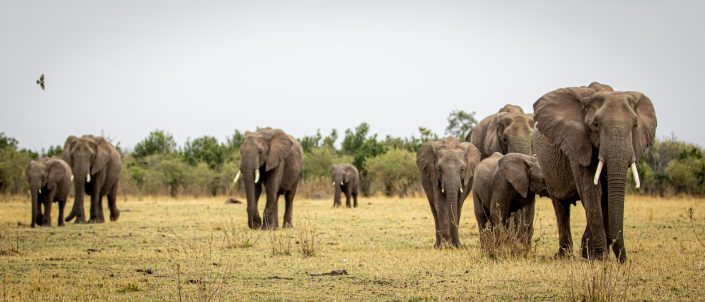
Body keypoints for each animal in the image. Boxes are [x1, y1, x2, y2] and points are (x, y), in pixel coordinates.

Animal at [532, 82, 656, 262]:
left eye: (635, 125)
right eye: (596, 124)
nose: (623, 260)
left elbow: (606, 196)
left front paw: (592, 255)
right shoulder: (578, 143)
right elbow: (591, 190)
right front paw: (599, 258)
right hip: (547, 165)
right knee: (561, 205)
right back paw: (563, 255)